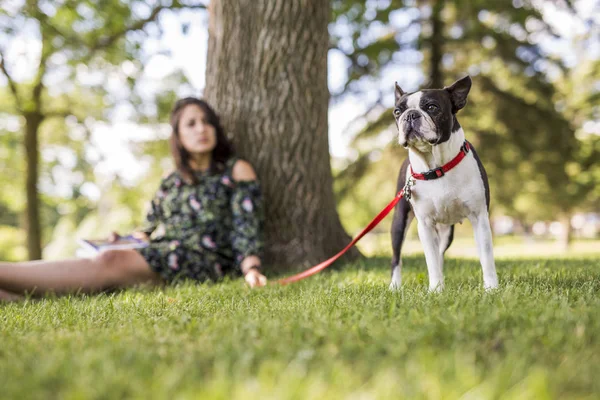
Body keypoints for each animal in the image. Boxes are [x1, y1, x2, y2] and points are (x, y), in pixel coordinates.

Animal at [390, 76, 496, 292]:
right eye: (397, 111)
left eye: (432, 107)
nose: (410, 115)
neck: (437, 167)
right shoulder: (425, 224)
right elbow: (430, 259)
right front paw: (436, 290)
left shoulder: (479, 217)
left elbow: (487, 257)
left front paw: (491, 289)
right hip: (399, 221)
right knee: (397, 258)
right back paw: (394, 286)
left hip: (448, 232)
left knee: (440, 253)